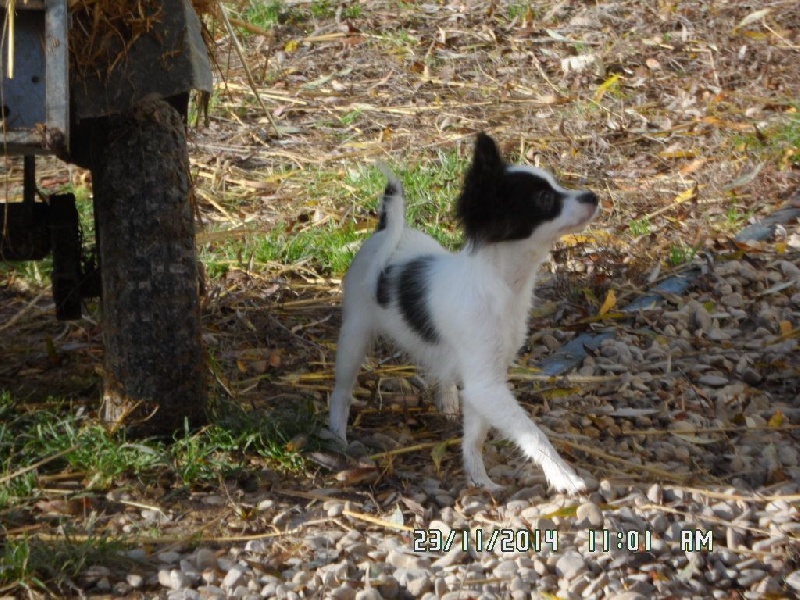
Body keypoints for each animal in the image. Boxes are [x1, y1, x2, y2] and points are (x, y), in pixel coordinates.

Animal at [328, 132, 596, 492]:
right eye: (543, 198)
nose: (593, 196)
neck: (501, 284)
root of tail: (384, 229)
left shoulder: (485, 378)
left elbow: (475, 436)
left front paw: (479, 478)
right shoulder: (487, 384)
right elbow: (532, 434)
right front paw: (563, 475)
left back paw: (446, 398)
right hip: (354, 335)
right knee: (342, 392)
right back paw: (337, 437)